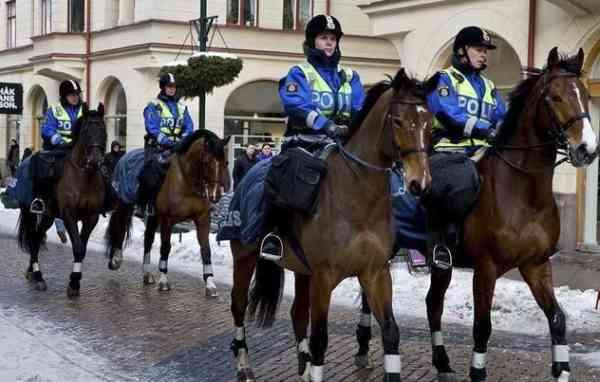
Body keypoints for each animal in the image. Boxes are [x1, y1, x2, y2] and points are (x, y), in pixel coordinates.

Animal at [18, 102, 108, 298]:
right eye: (86, 131)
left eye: (103, 129)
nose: (96, 160)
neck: (84, 176)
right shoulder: (69, 216)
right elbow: (78, 247)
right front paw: (73, 283)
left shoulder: (91, 218)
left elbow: (82, 248)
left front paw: (75, 281)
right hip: (32, 214)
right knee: (33, 239)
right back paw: (38, 276)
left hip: (48, 217)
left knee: (36, 239)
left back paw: (32, 272)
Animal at [105, 129, 230, 296]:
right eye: (206, 162)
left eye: (225, 162)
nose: (215, 195)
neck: (186, 181)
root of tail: (124, 156)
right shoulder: (167, 219)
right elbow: (165, 246)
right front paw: (164, 280)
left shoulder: (203, 218)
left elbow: (206, 249)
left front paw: (210, 283)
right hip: (126, 203)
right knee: (120, 227)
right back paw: (116, 260)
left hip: (152, 215)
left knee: (148, 239)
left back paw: (146, 273)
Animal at [227, 68, 438, 382]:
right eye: (398, 120)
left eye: (430, 124)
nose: (419, 183)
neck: (356, 196)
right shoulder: (324, 277)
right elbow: (320, 339)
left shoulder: (375, 273)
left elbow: (390, 331)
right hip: (245, 257)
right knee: (239, 305)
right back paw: (244, 365)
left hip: (302, 271)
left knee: (297, 313)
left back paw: (301, 367)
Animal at [418, 47, 600, 382]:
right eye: (555, 97)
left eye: (583, 93)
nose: (587, 149)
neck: (522, 195)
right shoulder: (485, 269)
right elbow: (482, 327)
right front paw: (477, 371)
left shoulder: (536, 265)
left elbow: (557, 319)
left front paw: (561, 369)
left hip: (439, 266)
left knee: (432, 303)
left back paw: (441, 362)